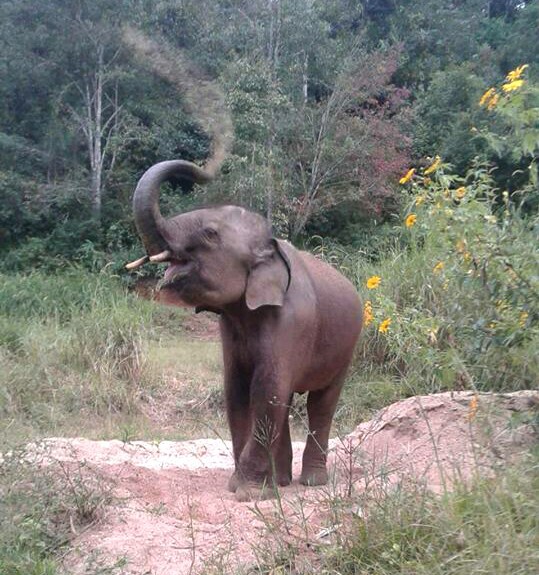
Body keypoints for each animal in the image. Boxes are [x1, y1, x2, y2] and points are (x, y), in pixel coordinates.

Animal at [127, 160, 362, 502]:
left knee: (320, 403)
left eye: (210, 234)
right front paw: (239, 484)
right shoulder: (229, 327)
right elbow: (237, 389)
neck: (269, 247)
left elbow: (267, 389)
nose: (206, 170)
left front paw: (249, 493)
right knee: (287, 400)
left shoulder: (292, 322)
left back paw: (311, 482)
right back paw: (282, 481)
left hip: (347, 348)